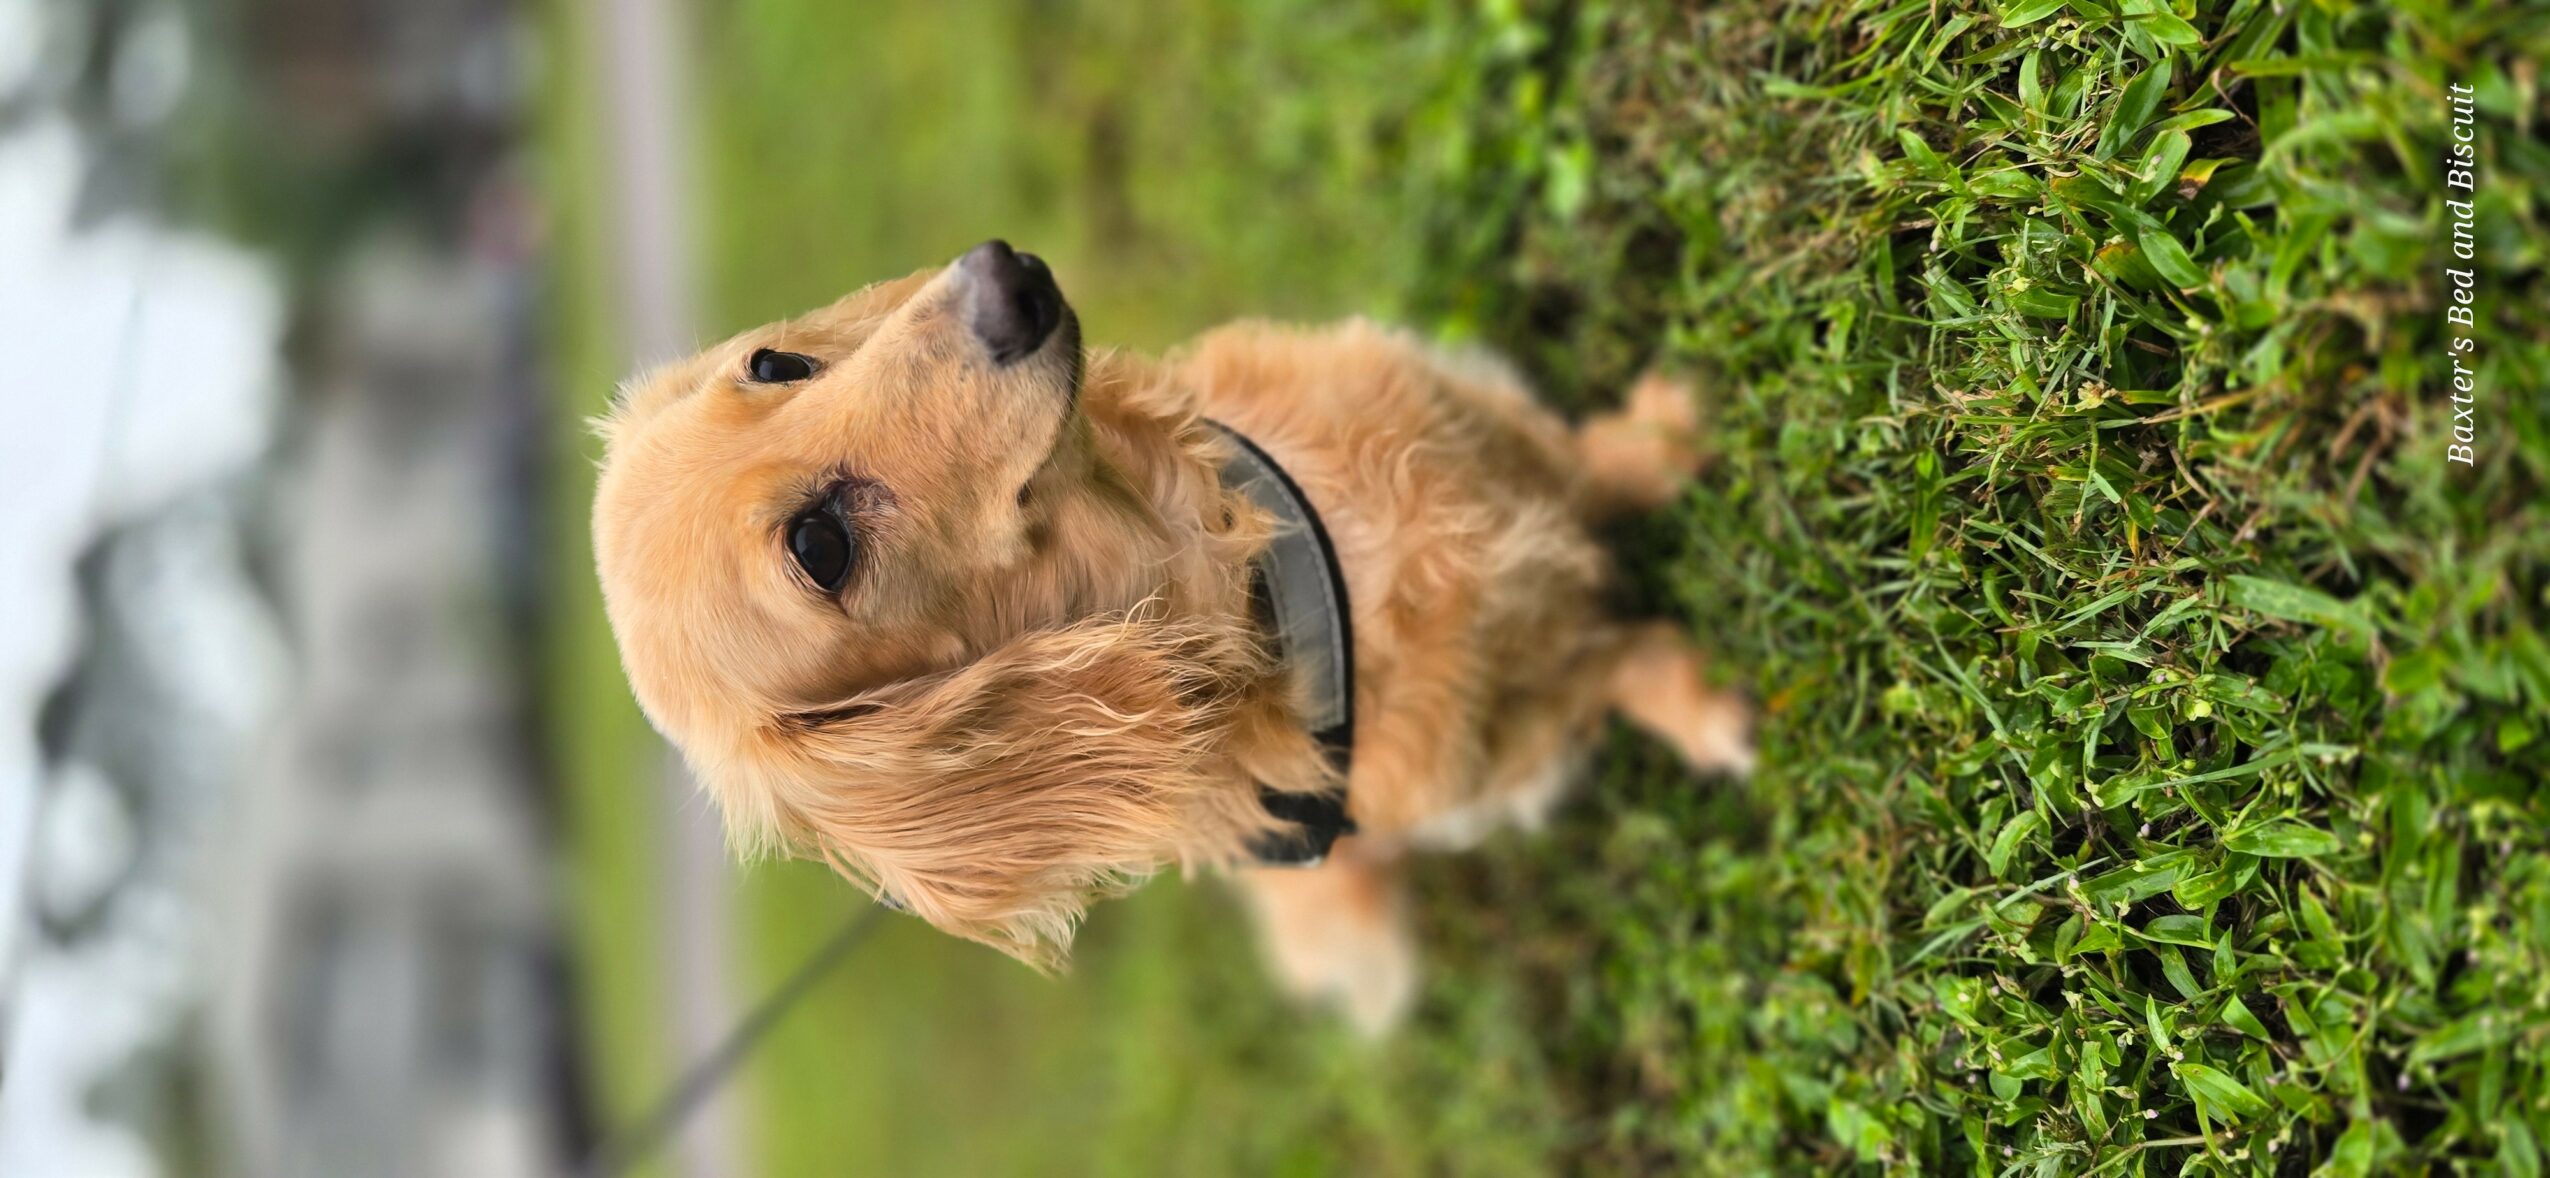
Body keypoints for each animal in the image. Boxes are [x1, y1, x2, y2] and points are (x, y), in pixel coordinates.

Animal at [592, 241, 1754, 1033]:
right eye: (820, 546)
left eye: (775, 363)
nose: (1001, 275)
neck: (1261, 571)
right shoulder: (1516, 730)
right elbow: (1626, 658)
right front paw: (1714, 713)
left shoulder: (1468, 417)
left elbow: (1591, 454)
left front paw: (1670, 432)